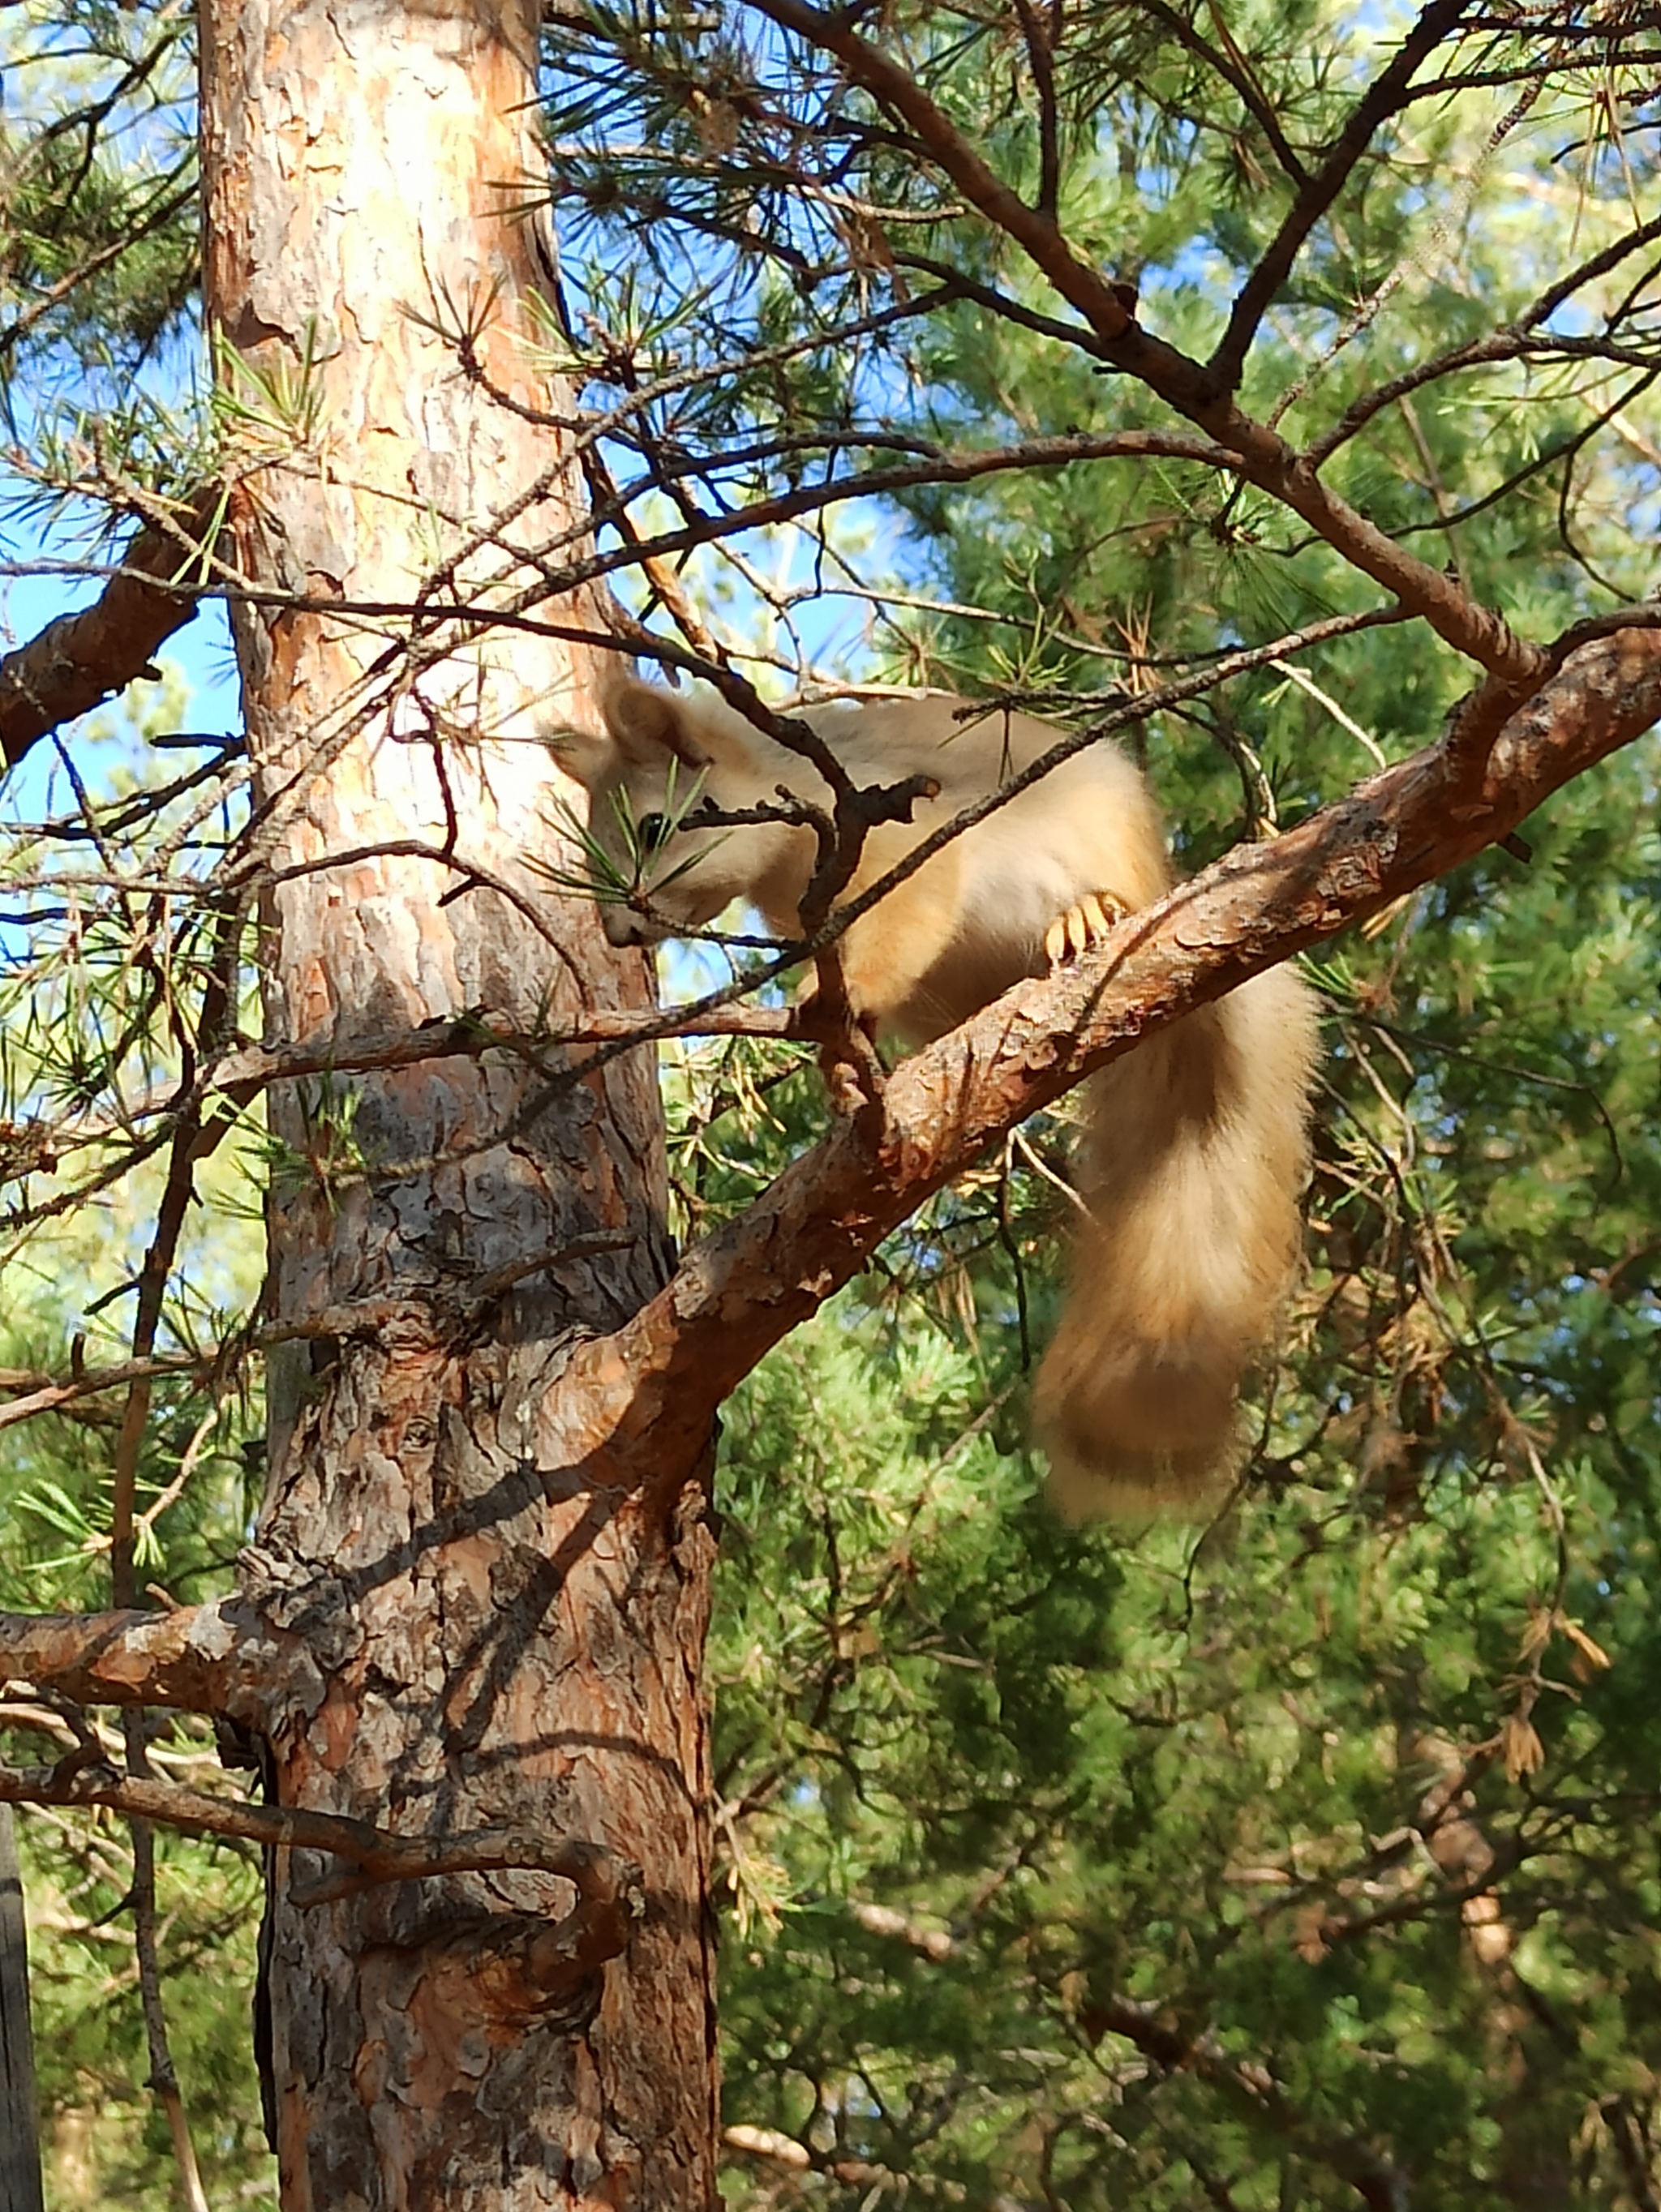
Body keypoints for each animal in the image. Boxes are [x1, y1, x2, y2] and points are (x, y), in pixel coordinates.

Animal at [561, 685, 1327, 1521]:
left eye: (654, 826)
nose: (618, 930)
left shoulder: (901, 836)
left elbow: (903, 920)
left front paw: (837, 998)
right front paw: (844, 1066)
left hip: (1105, 850)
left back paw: (1089, 916)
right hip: (950, 993)